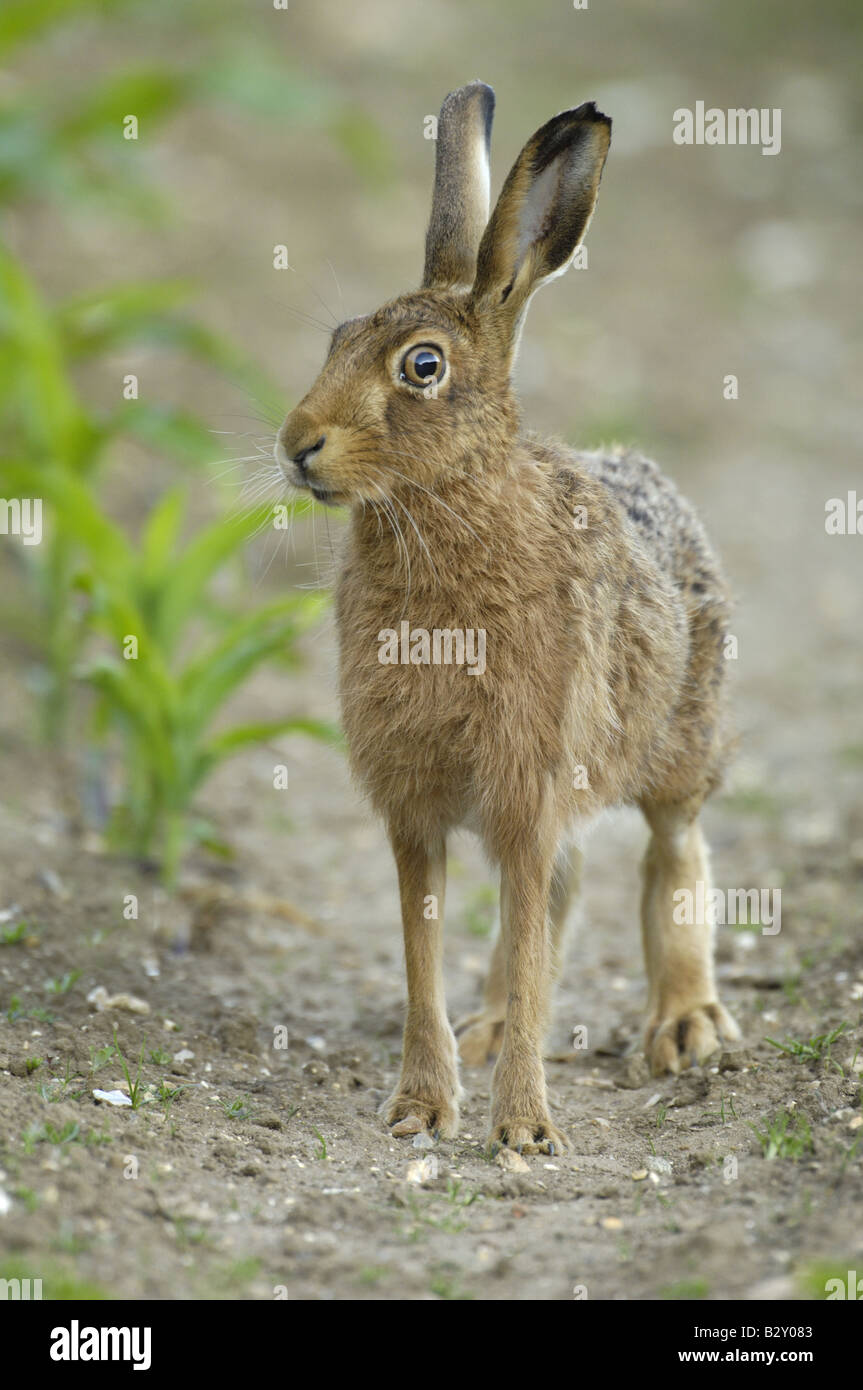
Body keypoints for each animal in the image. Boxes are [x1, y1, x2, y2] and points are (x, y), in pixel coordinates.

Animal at [275, 81, 740, 1156]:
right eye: (334, 339)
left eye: (421, 367)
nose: (296, 444)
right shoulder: (417, 804)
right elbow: (426, 951)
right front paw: (420, 1106)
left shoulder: (527, 779)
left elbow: (531, 936)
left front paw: (524, 1131)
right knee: (565, 886)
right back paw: (483, 1030)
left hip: (675, 740)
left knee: (671, 851)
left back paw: (683, 1025)